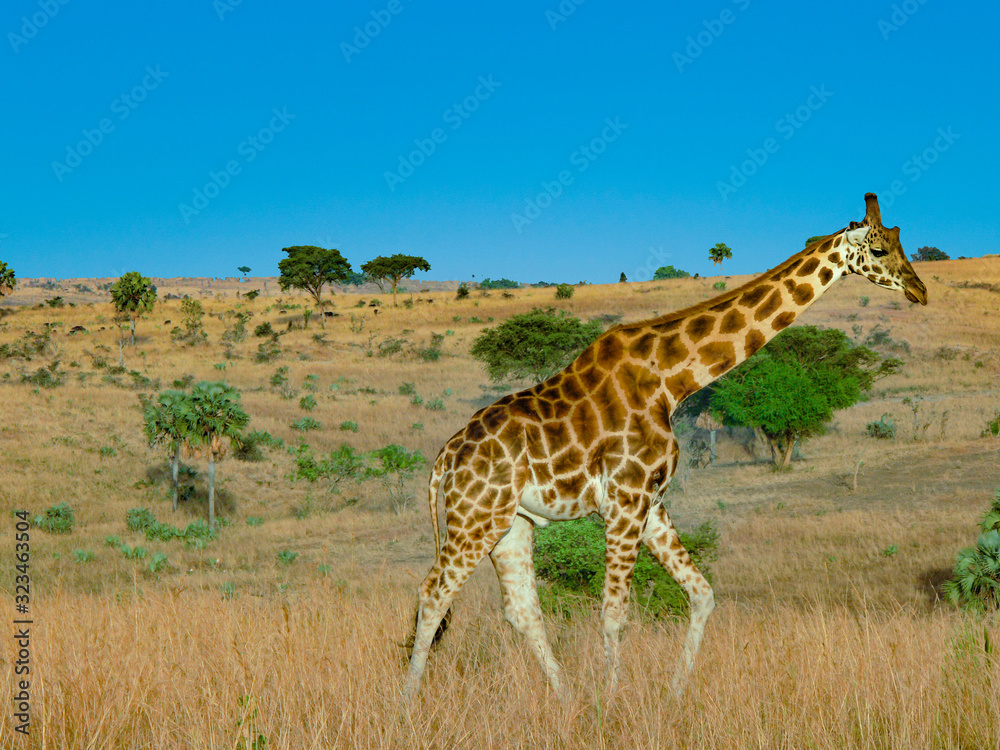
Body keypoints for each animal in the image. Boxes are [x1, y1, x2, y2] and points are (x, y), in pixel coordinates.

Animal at [403, 193, 927, 701]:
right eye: (878, 249)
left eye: (901, 243)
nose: (920, 290)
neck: (671, 381)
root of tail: (445, 459)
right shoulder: (625, 498)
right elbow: (614, 613)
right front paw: (612, 703)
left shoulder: (651, 501)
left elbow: (702, 594)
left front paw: (674, 694)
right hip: (476, 517)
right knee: (432, 592)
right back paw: (409, 702)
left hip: (510, 524)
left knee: (520, 609)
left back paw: (566, 699)